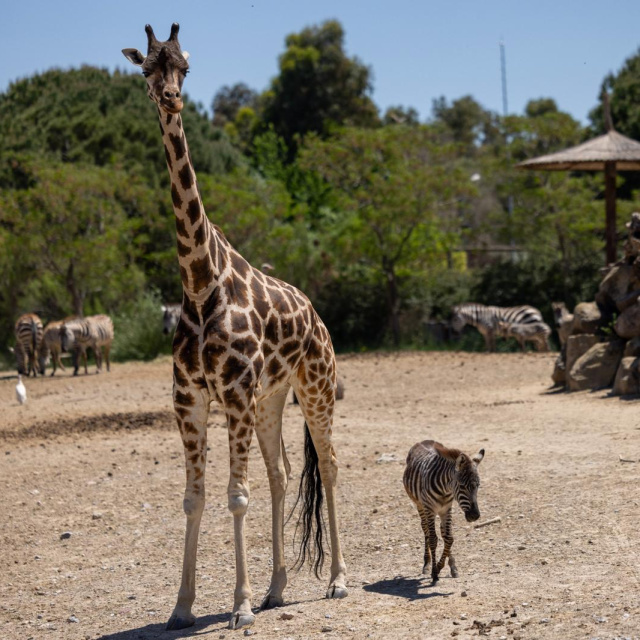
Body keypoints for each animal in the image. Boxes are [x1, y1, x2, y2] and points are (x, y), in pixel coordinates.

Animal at [403, 440, 484, 582]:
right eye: (462, 486)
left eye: (478, 486)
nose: (475, 516)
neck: (445, 489)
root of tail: (423, 441)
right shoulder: (429, 509)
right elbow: (433, 539)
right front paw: (434, 572)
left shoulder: (446, 509)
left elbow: (449, 538)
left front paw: (443, 566)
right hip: (420, 505)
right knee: (425, 529)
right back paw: (427, 563)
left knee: (443, 532)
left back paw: (451, 566)